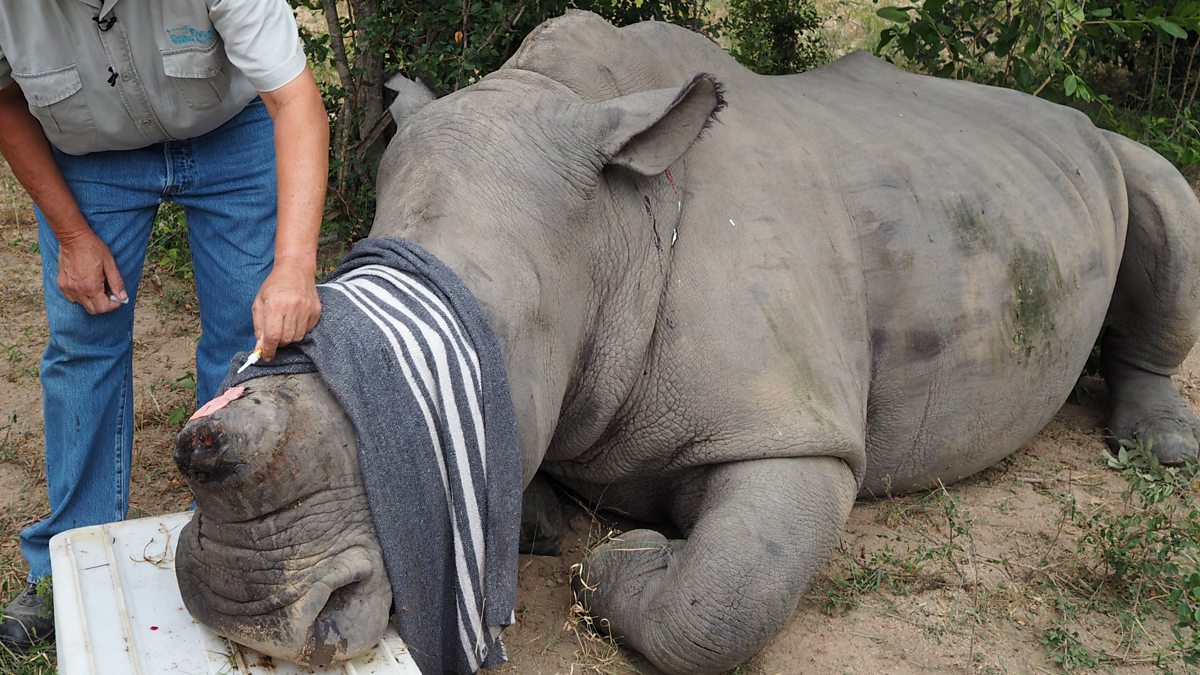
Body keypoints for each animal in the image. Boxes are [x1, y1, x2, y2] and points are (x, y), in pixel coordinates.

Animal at [169, 11, 1200, 675]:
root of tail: (1056, 111)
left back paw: (1161, 447)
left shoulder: (796, 428)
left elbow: (721, 599)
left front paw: (621, 558)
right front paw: (547, 522)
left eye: (441, 379)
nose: (245, 608)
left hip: (1097, 148)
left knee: (1165, 192)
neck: (614, 235)